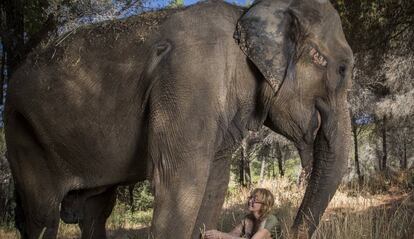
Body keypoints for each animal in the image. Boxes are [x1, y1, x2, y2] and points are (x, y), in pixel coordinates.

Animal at [4, 0, 352, 238]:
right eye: (341, 69)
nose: (284, 230)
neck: (246, 14)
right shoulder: (189, 80)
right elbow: (180, 181)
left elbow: (213, 185)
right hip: (20, 130)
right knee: (43, 216)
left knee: (94, 212)